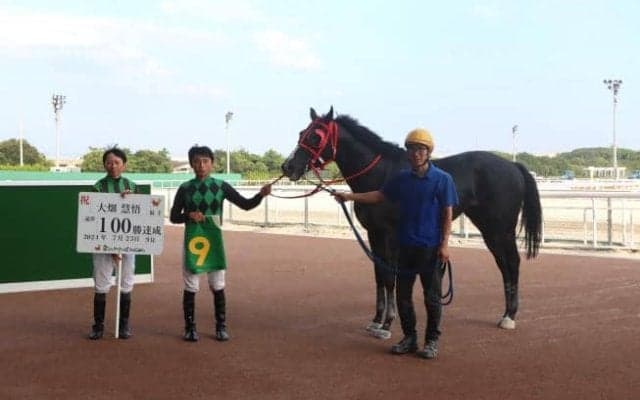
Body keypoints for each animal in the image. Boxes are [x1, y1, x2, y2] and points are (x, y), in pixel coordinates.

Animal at [281, 106, 542, 338]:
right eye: (301, 133)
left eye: (316, 136)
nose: (288, 166)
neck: (381, 175)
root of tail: (513, 165)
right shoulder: (374, 234)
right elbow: (379, 275)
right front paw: (376, 320)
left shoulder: (390, 236)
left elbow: (389, 276)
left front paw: (387, 323)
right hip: (490, 228)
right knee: (504, 265)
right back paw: (507, 314)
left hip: (499, 230)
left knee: (512, 264)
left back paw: (509, 317)